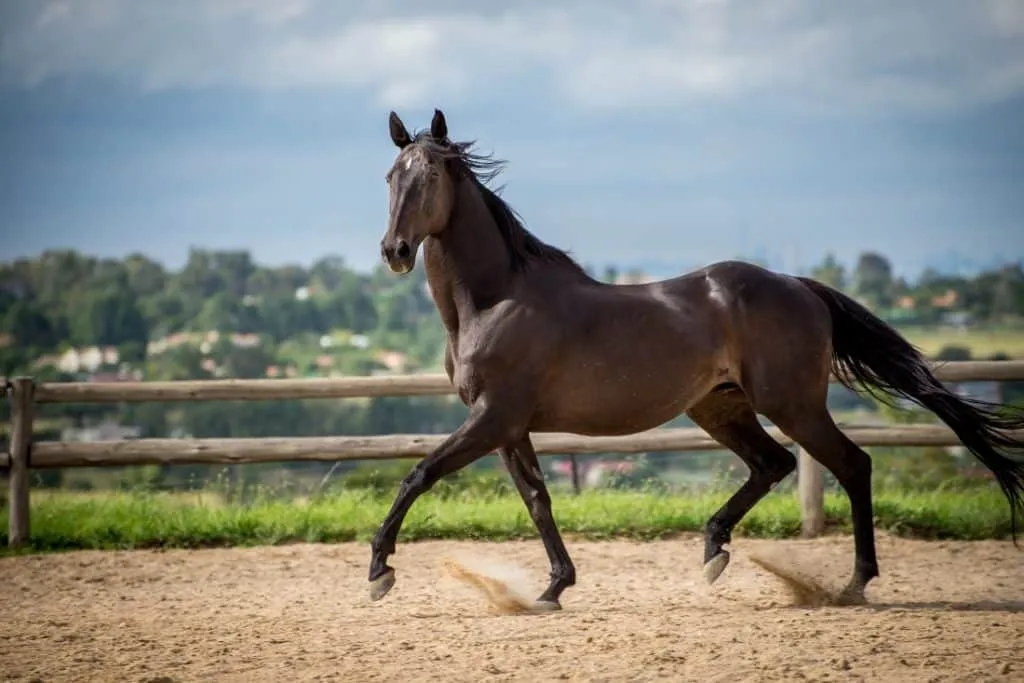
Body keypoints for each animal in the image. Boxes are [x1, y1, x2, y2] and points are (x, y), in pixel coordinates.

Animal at [368, 108, 1024, 610]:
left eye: (431, 175)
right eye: (391, 176)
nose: (394, 251)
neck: (495, 299)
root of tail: (799, 285)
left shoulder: (494, 417)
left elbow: (419, 474)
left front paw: (379, 571)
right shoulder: (507, 426)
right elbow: (538, 500)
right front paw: (555, 587)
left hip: (792, 403)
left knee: (850, 464)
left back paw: (854, 583)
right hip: (720, 407)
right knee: (775, 464)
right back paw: (715, 551)